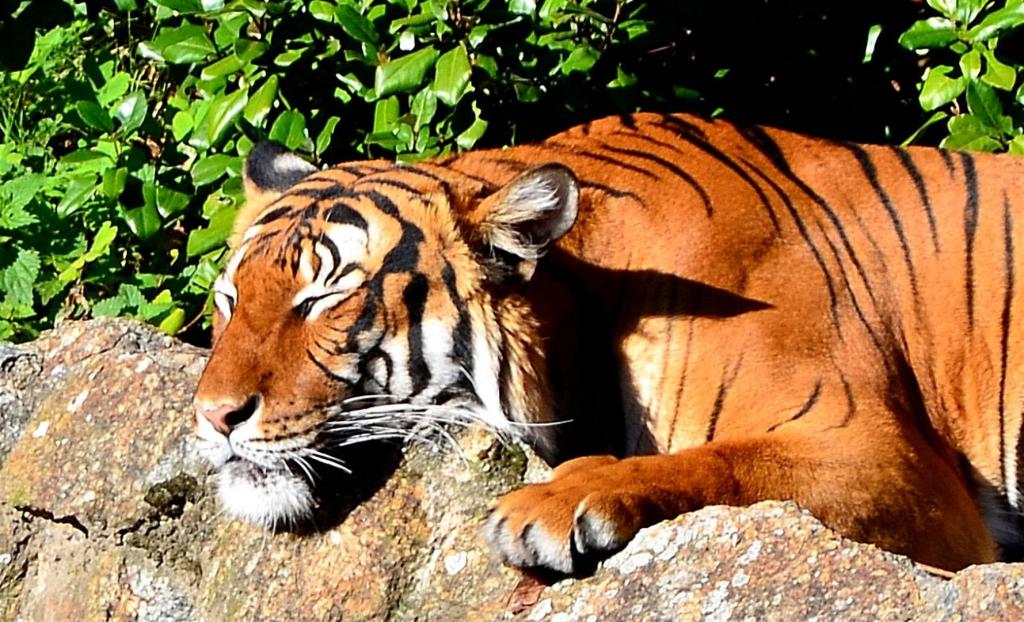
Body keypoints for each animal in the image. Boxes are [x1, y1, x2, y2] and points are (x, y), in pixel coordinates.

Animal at [192, 112, 1024, 574]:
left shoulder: (882, 453)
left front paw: (558, 500)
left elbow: (729, 460)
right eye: (230, 300)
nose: (210, 417)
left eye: (322, 298)